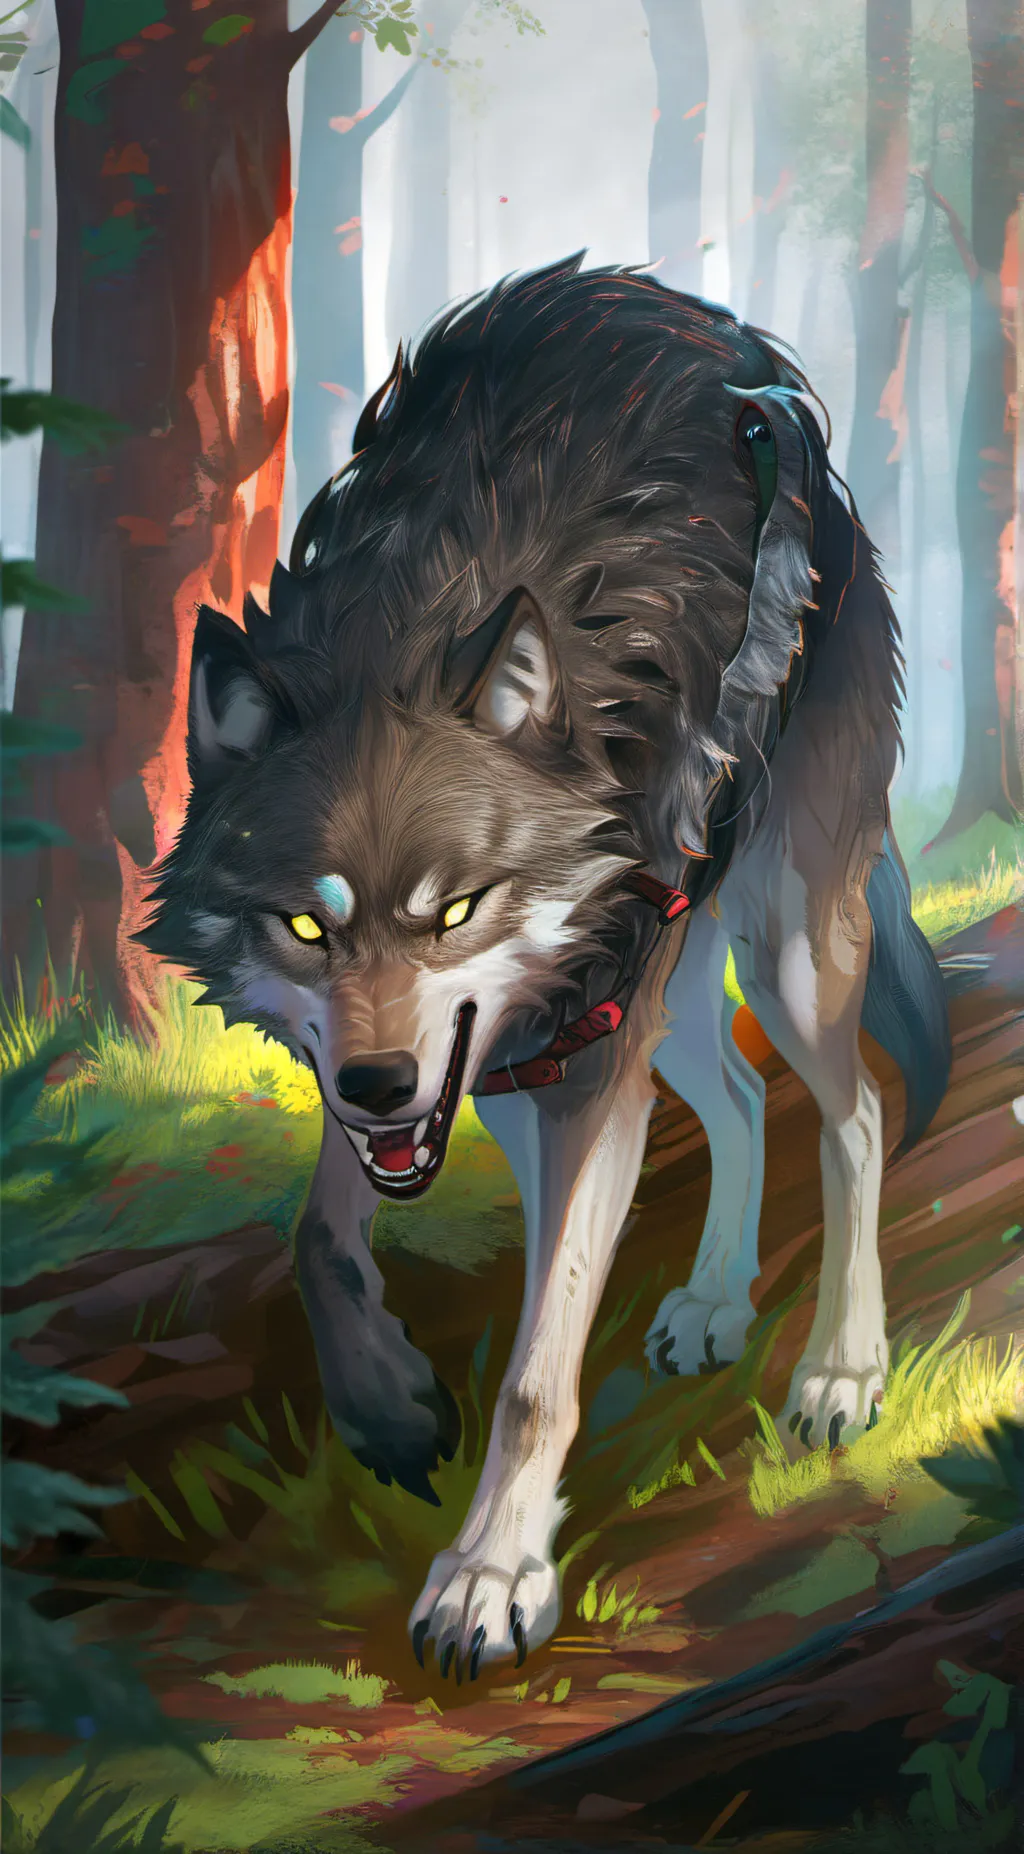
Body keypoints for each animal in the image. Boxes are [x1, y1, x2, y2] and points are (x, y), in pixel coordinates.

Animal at [142, 257, 951, 1680]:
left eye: (456, 907)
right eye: (306, 928)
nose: (376, 1084)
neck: (411, 616)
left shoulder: (565, 1059)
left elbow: (534, 1371)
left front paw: (489, 1579)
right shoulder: (485, 1065)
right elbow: (321, 1234)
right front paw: (391, 1411)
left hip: (777, 950)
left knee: (850, 1112)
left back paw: (840, 1369)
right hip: (611, 1012)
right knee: (743, 1100)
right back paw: (712, 1302)